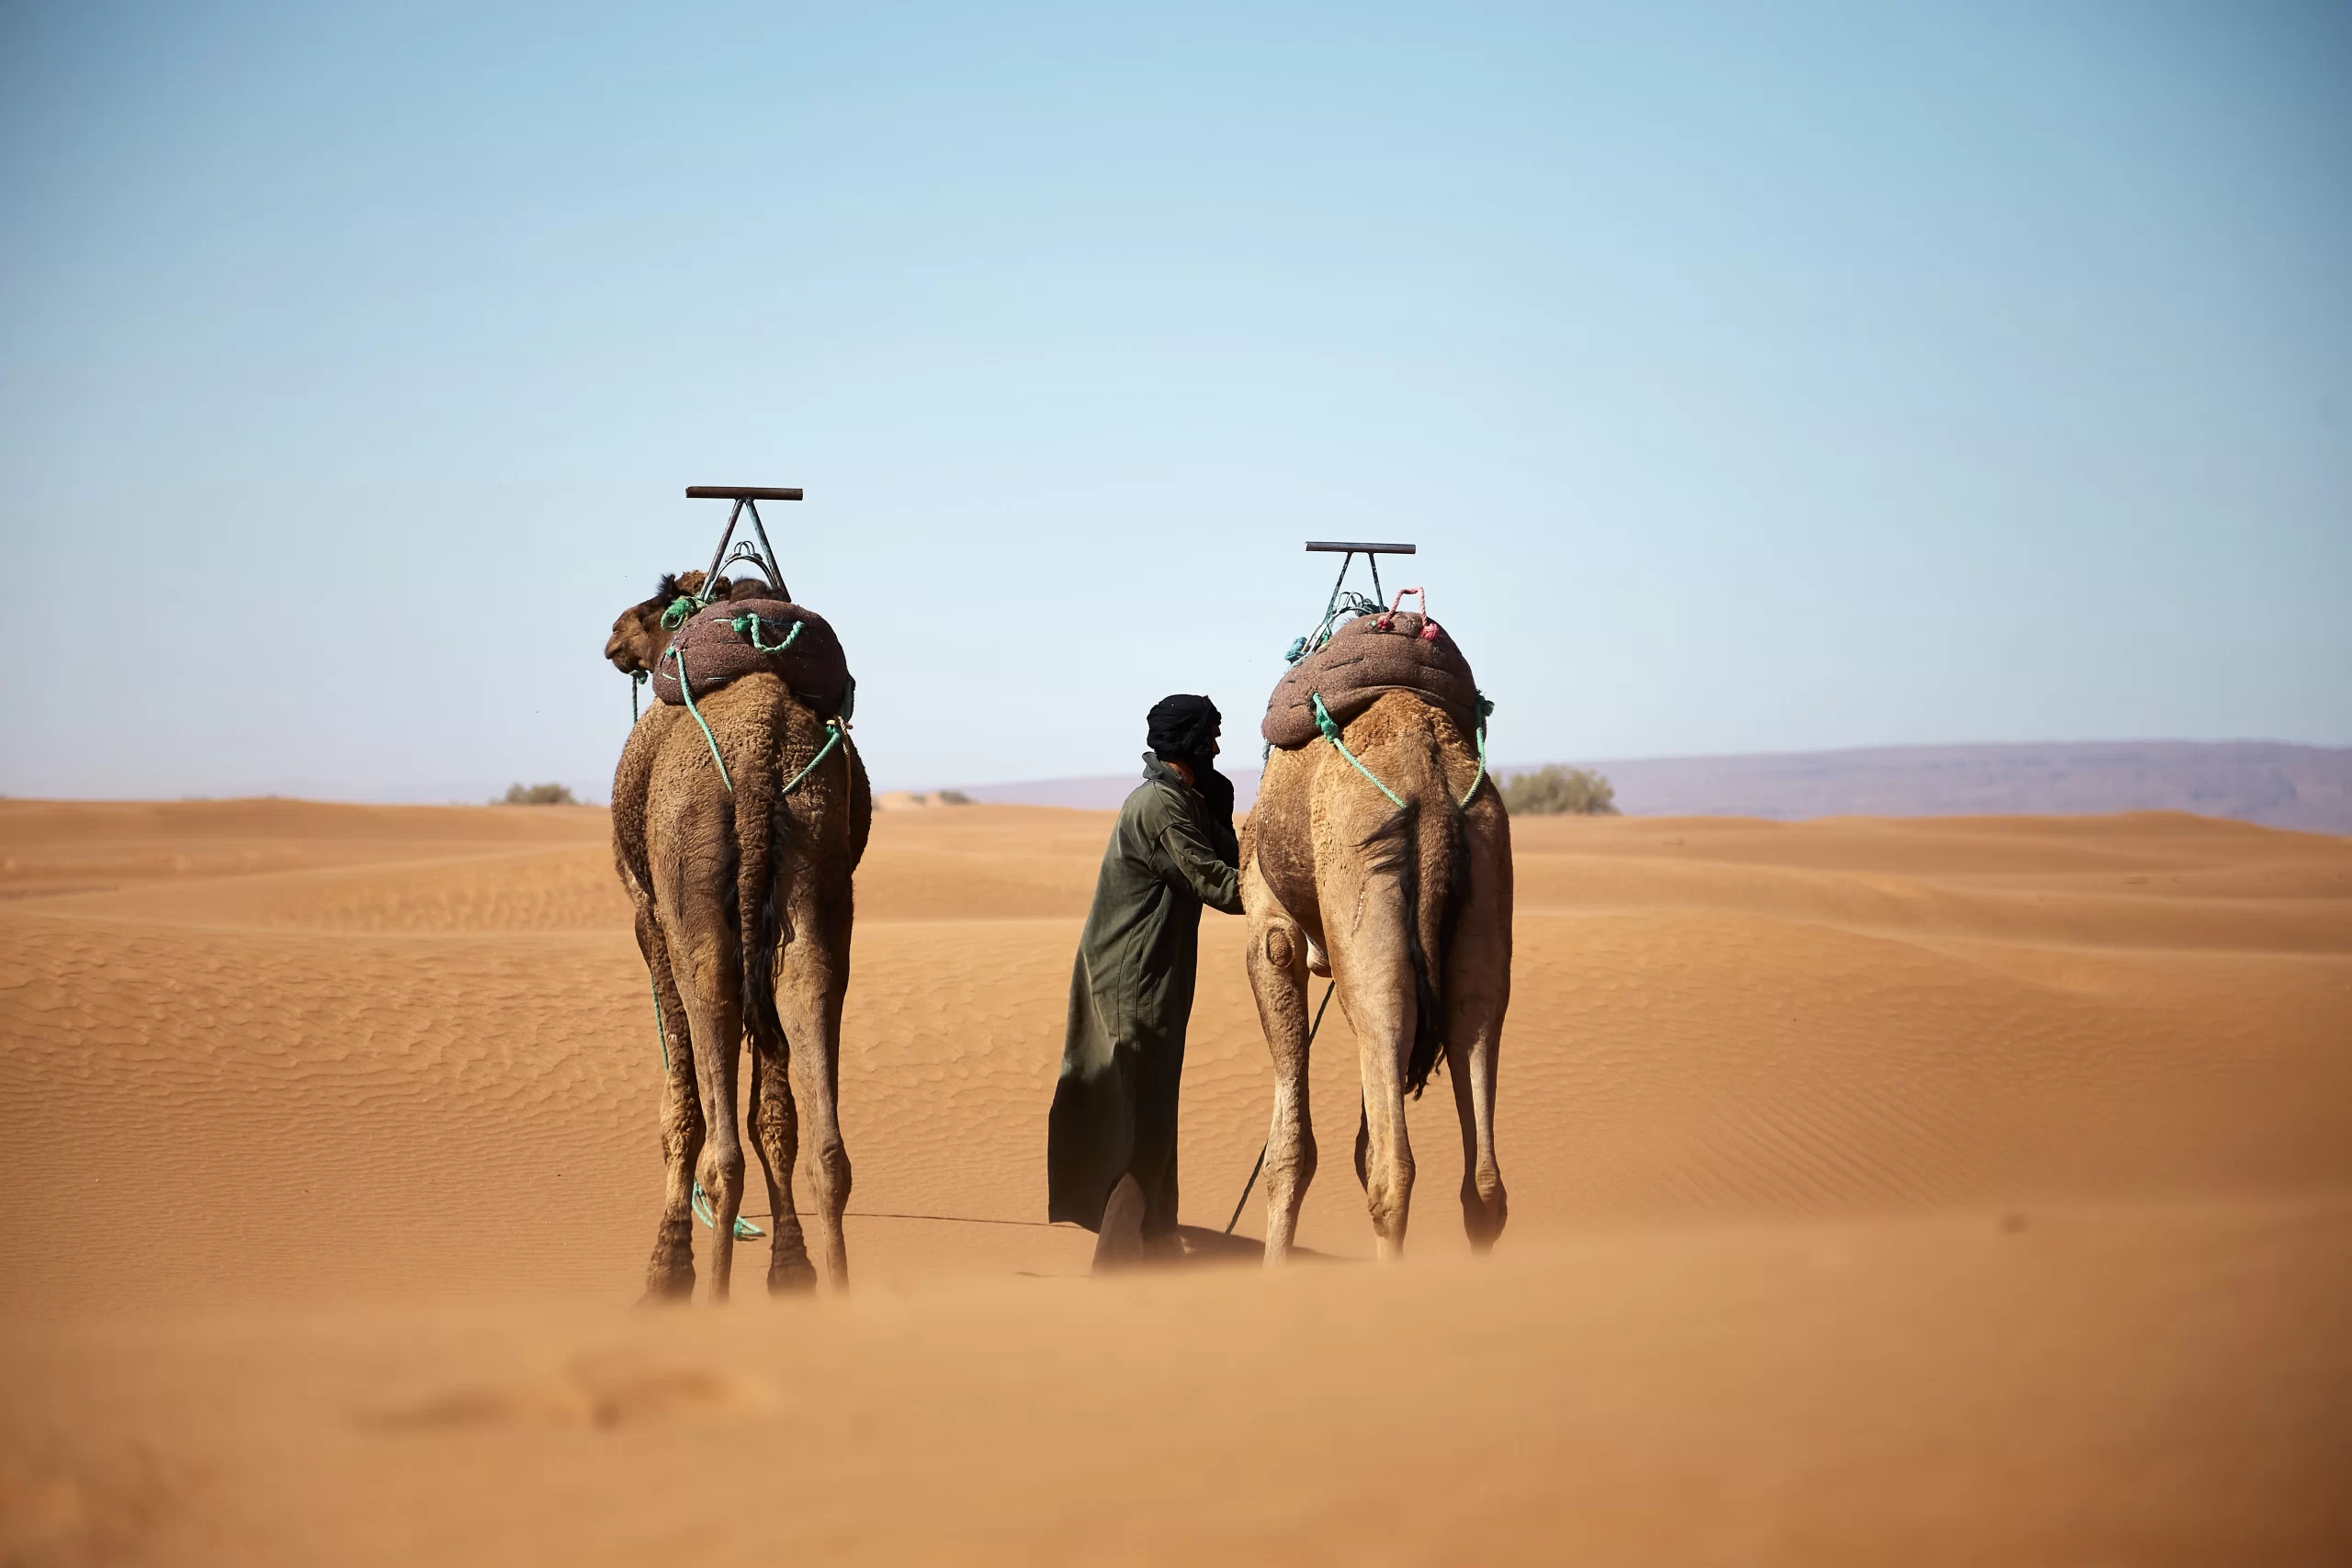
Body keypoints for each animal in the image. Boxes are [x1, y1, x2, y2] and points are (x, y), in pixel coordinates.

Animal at [604, 572, 872, 1300]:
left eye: (656, 607)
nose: (613, 636)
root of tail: (757, 755)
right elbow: (775, 1111)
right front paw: (793, 1270)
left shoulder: (648, 916)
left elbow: (683, 1104)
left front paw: (665, 1271)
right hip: (817, 867)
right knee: (810, 1001)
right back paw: (837, 1284)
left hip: (691, 885)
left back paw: (711, 1292)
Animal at [1240, 690, 1512, 1261]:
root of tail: (1429, 781)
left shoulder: (1270, 928)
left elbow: (1288, 1154)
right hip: (1486, 873)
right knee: (1482, 1177)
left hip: (1363, 890)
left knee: (1392, 1172)